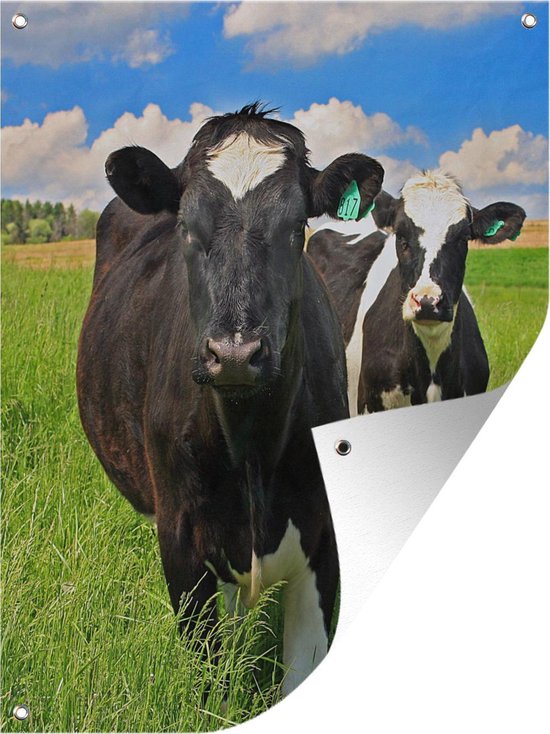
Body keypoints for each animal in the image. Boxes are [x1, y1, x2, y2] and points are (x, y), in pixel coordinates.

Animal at [76, 103, 384, 697]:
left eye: (297, 228)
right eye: (186, 227)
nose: (235, 353)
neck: (251, 445)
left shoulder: (323, 539)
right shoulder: (180, 539)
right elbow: (207, 680)